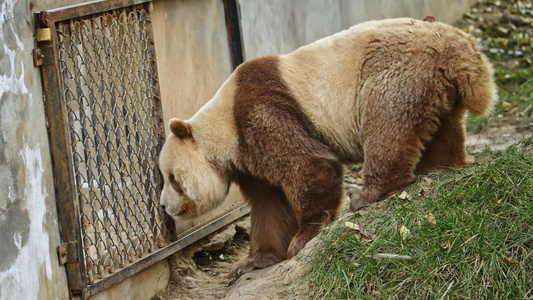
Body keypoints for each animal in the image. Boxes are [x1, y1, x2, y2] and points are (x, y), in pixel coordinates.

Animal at [157, 17, 494, 278]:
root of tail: (457, 44)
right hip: (436, 85)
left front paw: (303, 238)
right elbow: (269, 204)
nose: (163, 206)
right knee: (442, 130)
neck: (222, 123)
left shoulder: (261, 111)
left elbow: (308, 163)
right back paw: (443, 166)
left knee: (387, 122)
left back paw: (369, 194)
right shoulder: (247, 159)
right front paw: (253, 262)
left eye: (172, 179)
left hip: (394, 68)